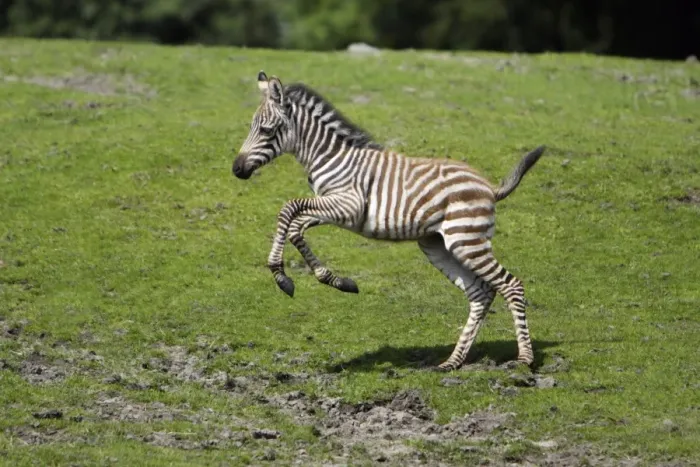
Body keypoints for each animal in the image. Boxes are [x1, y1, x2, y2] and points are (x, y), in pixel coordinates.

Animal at [232, 70, 546, 371]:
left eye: (266, 130)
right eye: (251, 127)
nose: (236, 169)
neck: (329, 157)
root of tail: (489, 187)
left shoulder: (348, 205)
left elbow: (289, 208)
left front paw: (282, 276)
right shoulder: (334, 210)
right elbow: (296, 225)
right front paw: (334, 280)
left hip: (466, 240)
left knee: (511, 285)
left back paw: (524, 360)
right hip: (439, 244)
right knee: (481, 293)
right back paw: (452, 362)